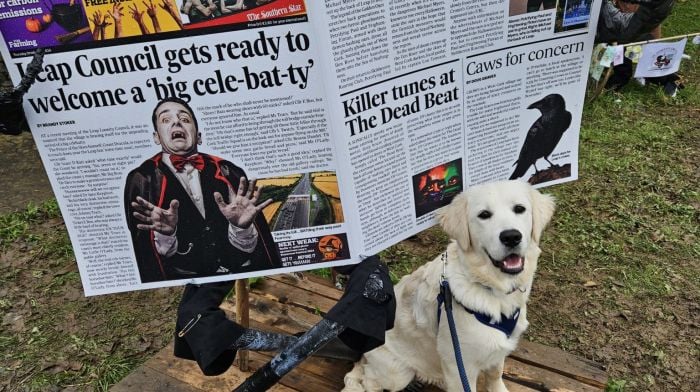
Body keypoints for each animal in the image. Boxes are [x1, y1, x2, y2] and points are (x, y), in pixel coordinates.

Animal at [342, 181, 556, 392]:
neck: (493, 289)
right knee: (368, 380)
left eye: (519, 209)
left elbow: (495, 375)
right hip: (396, 374)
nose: (511, 237)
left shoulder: (500, 347)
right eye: (484, 215)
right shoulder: (460, 365)